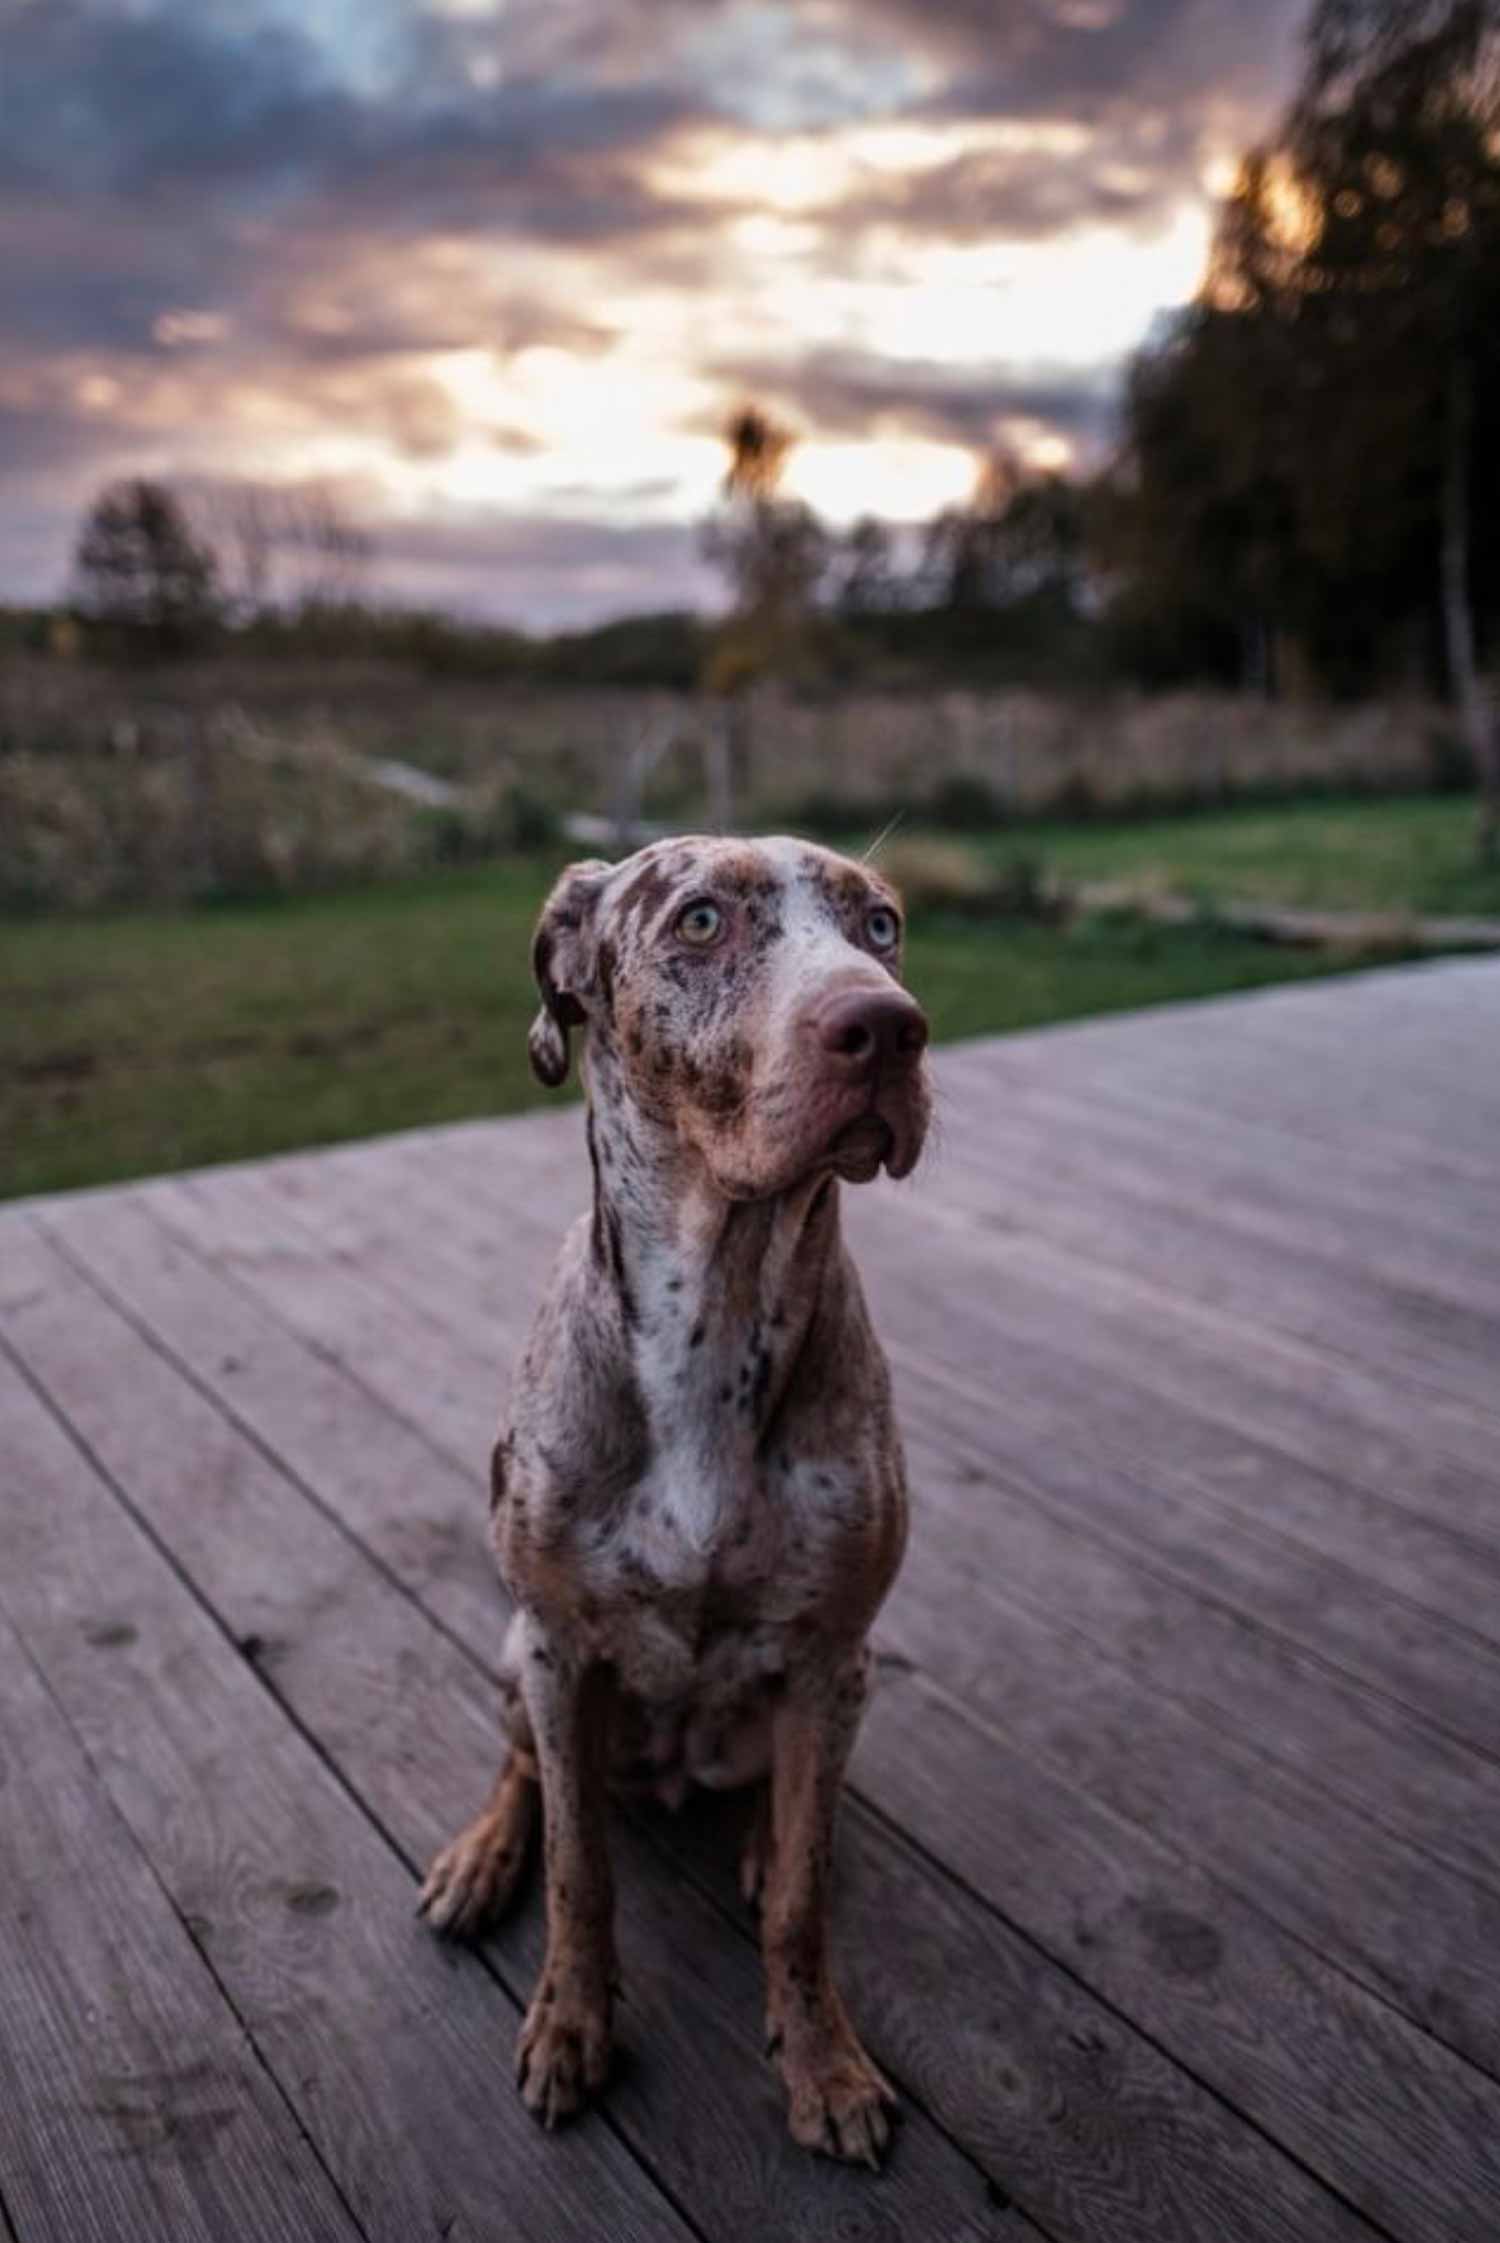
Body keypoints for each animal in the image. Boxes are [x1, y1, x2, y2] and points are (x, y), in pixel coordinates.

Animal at [419, 834, 923, 2162]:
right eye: (699, 920)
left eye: (883, 925)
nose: (887, 1027)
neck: (721, 1308)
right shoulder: (557, 1644)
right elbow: (579, 1871)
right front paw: (570, 2023)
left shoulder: (833, 1653)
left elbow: (802, 1900)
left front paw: (824, 2062)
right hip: (517, 1660)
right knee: (530, 1774)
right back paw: (480, 1856)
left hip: (819, 1696)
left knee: (785, 1803)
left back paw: (755, 1834)